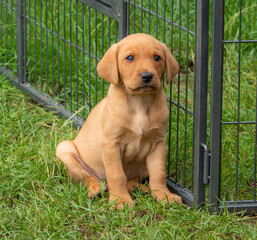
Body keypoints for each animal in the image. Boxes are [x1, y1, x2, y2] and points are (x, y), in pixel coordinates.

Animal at [56, 32, 180, 208]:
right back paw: (96, 188)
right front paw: (120, 200)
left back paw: (139, 188)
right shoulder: (111, 144)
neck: (140, 103)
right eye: (130, 58)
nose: (147, 76)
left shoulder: (159, 143)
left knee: (132, 178)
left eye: (157, 58)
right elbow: (116, 175)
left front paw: (164, 195)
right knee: (86, 177)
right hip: (64, 150)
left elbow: (159, 174)